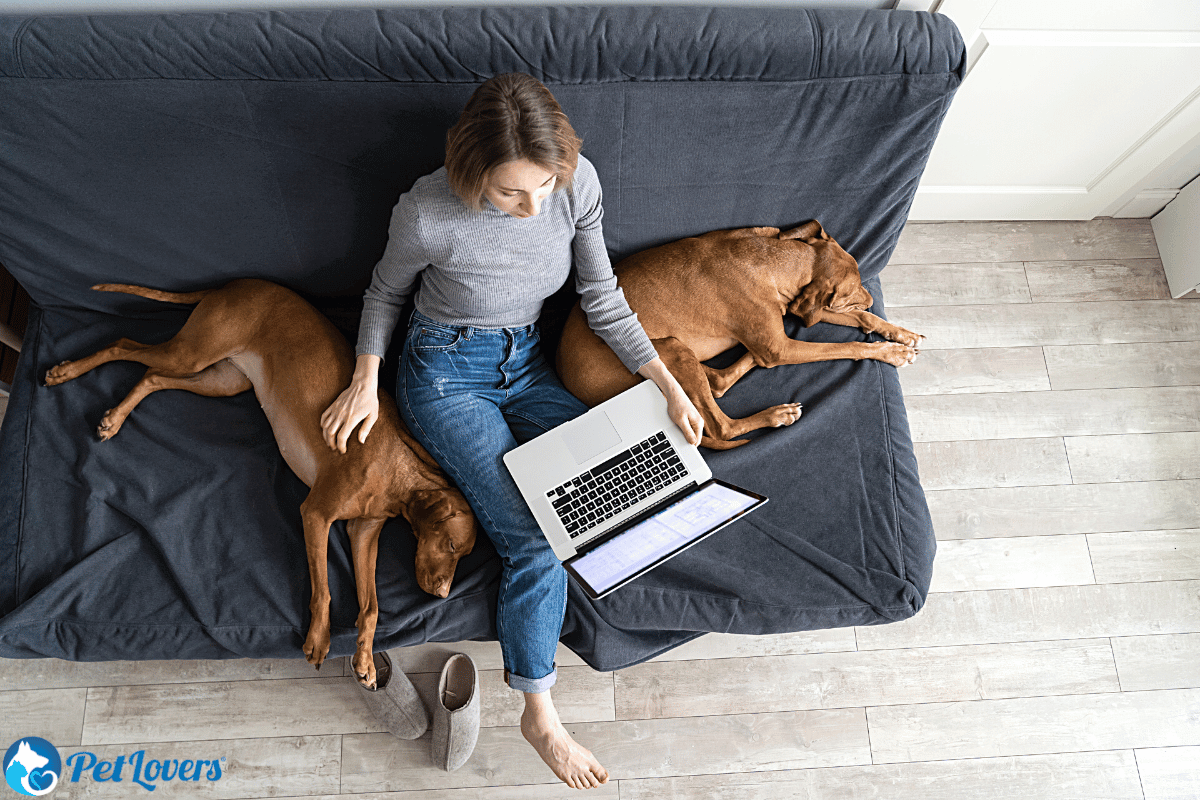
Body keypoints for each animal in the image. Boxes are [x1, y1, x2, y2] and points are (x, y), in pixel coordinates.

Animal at [46, 280, 477, 690]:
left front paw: (366, 661)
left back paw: (115, 418)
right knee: (123, 345)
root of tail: (236, 284)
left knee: (152, 378)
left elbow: (371, 608)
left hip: (221, 379)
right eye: (451, 546)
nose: (441, 595)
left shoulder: (363, 533)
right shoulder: (316, 514)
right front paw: (318, 639)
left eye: (461, 554)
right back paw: (67, 373)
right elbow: (323, 589)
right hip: (194, 353)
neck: (396, 476)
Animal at [556, 224, 921, 450]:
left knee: (720, 382)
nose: (872, 297)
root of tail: (572, 385)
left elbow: (856, 318)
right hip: (669, 351)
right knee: (721, 425)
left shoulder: (797, 312)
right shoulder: (782, 344)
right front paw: (890, 352)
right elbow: (843, 345)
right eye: (853, 288)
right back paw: (775, 415)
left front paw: (898, 333)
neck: (771, 260)